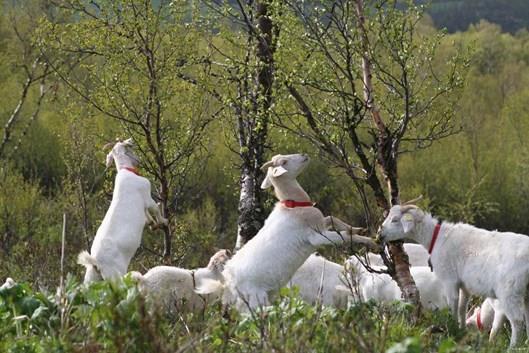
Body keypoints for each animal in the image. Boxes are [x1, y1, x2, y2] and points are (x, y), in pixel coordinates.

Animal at [76, 138, 166, 284]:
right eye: (131, 149)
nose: (139, 160)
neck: (126, 170)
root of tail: (96, 262)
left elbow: (146, 215)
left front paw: (152, 223)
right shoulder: (147, 196)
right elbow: (155, 209)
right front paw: (164, 221)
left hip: (92, 279)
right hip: (115, 275)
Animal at [197, 153, 376, 310]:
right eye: (284, 162)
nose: (304, 155)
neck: (293, 205)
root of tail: (227, 284)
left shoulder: (321, 224)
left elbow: (334, 219)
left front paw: (357, 228)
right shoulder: (316, 237)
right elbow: (345, 237)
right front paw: (372, 241)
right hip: (255, 300)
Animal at [380, 204, 529, 346]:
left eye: (395, 220)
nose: (379, 234)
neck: (437, 238)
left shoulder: (449, 280)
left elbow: (453, 304)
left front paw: (452, 329)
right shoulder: (464, 285)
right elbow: (462, 307)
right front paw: (461, 330)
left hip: (510, 291)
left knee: (517, 321)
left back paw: (513, 347)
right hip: (526, 292)